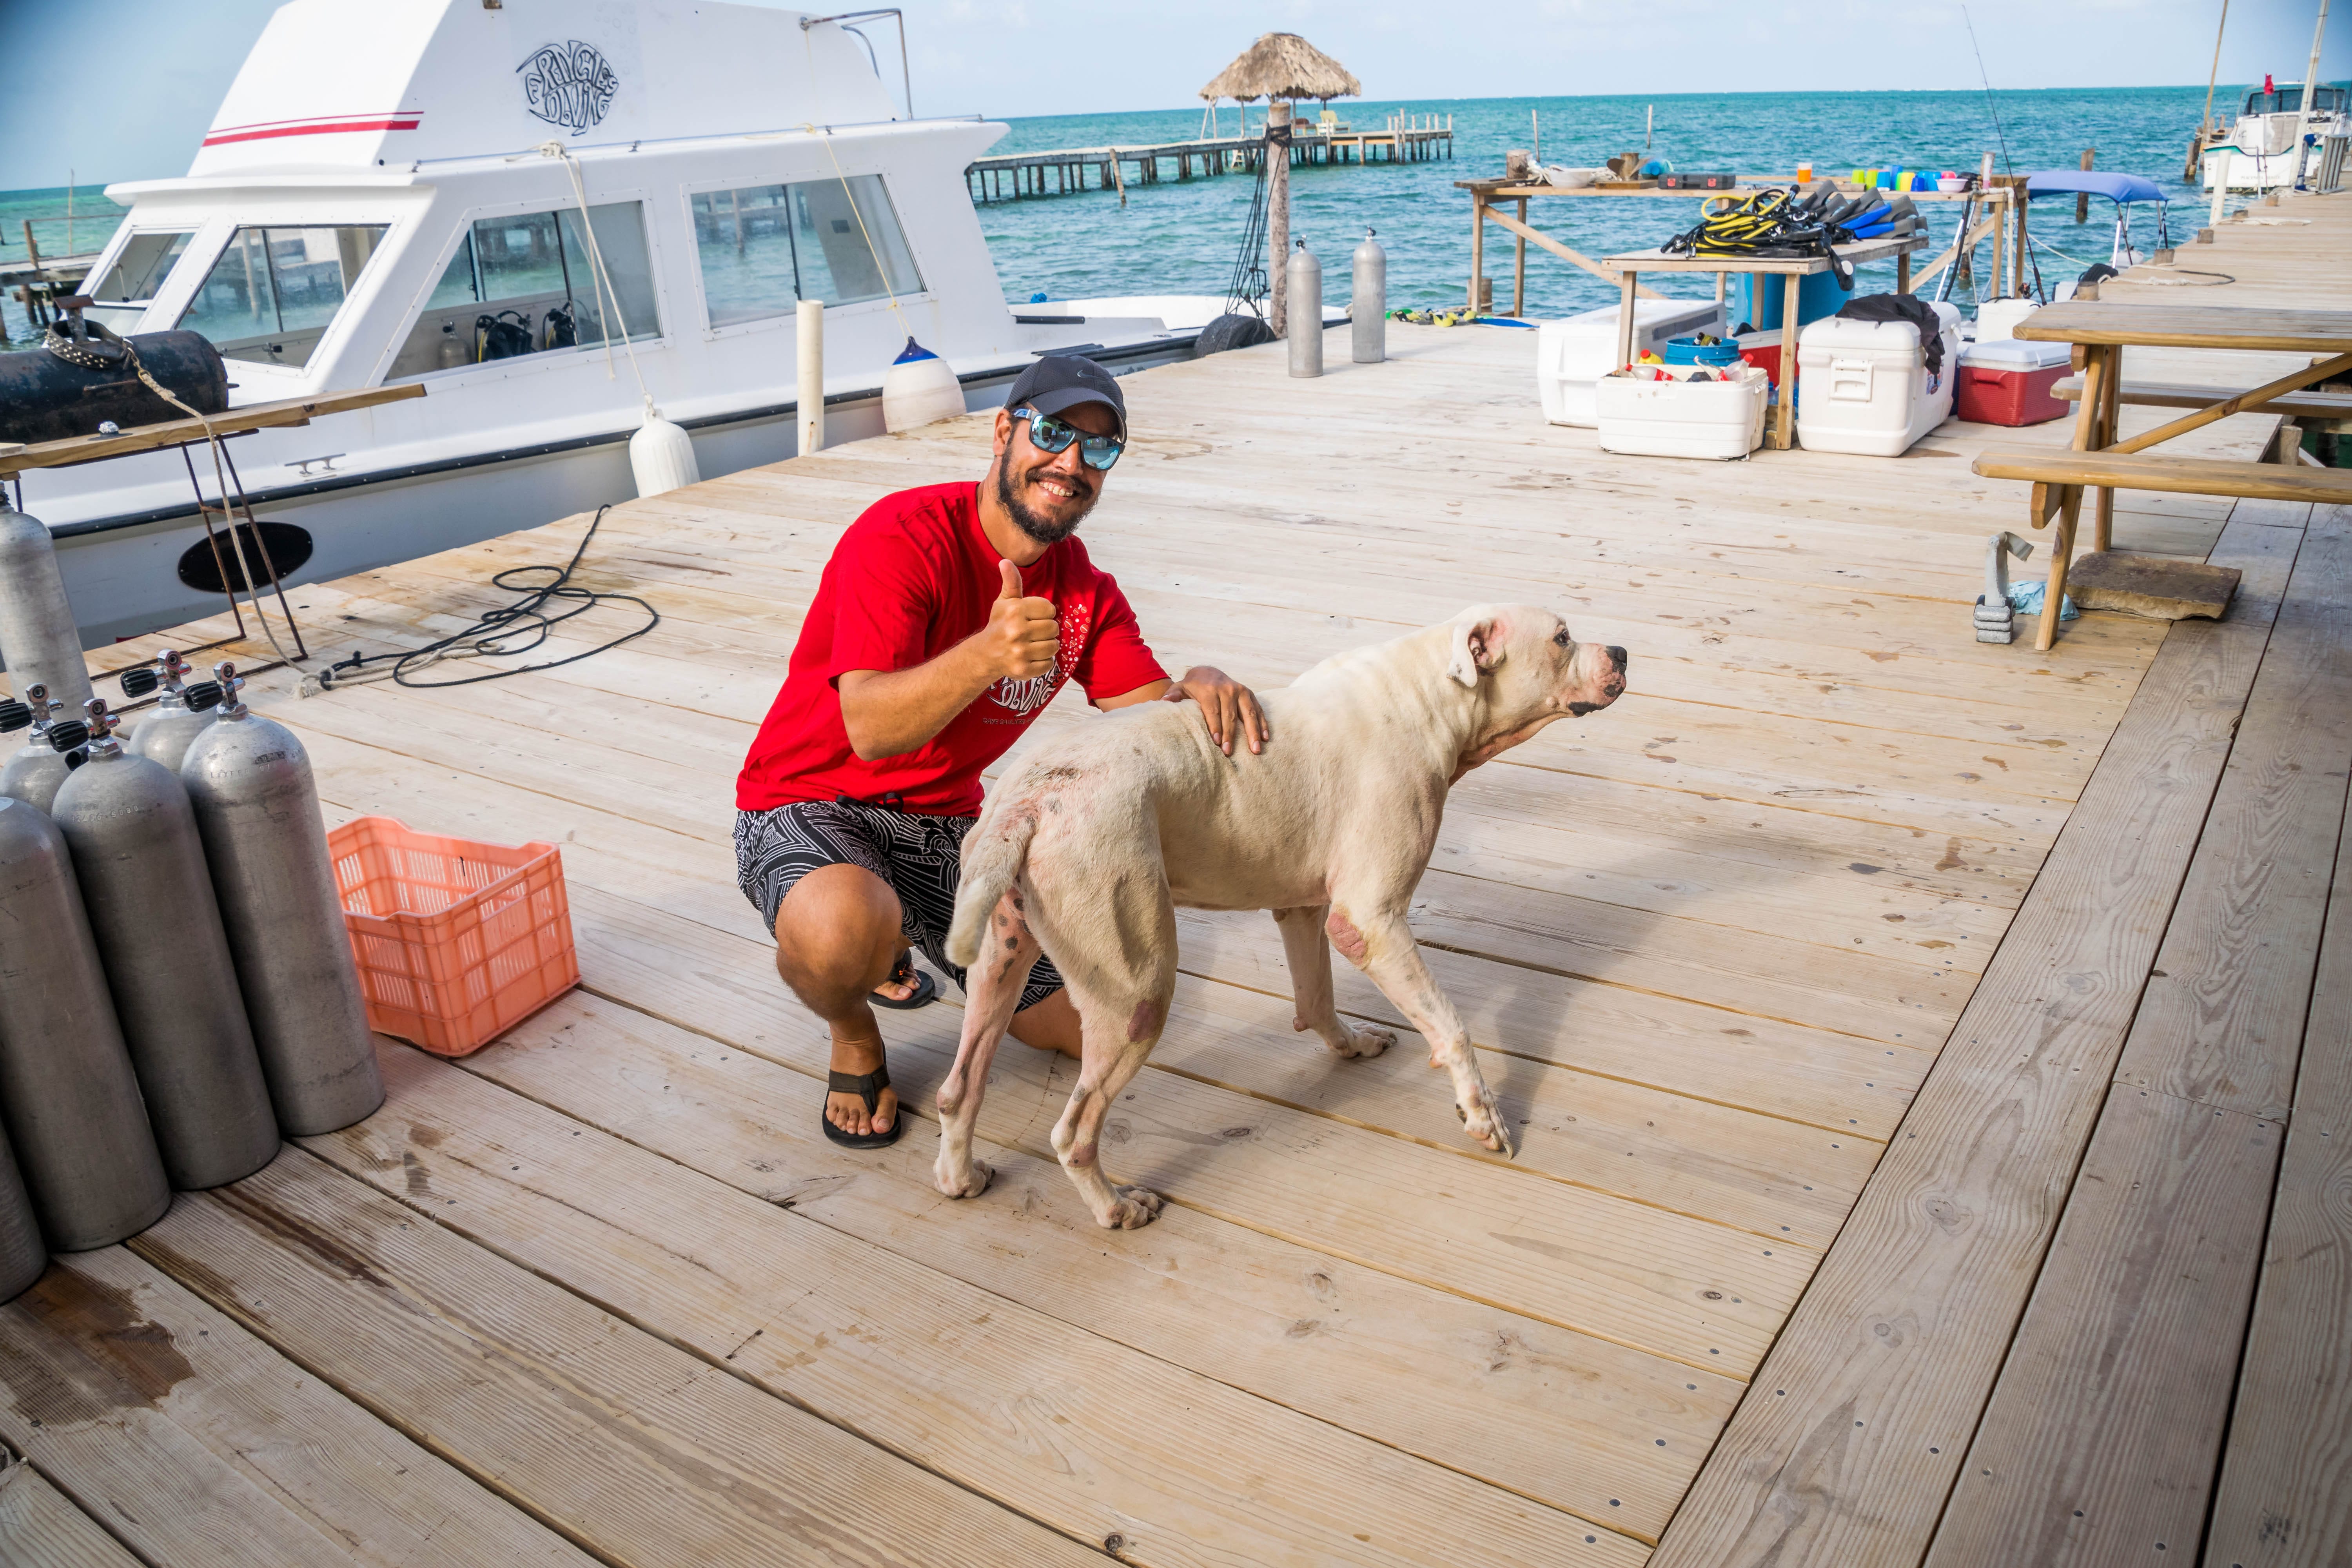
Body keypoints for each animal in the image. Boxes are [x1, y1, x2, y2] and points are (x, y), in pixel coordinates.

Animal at [938, 605, 1629, 1229]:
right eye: (1563, 638)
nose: (1622, 651)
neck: (1432, 697)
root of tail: (1029, 801)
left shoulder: (1305, 911)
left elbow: (1317, 998)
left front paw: (1354, 1046)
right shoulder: (1371, 921)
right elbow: (1453, 1028)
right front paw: (1483, 1115)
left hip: (1002, 958)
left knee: (959, 1088)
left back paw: (960, 1176)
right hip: (1136, 992)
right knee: (1073, 1130)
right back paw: (1116, 1208)